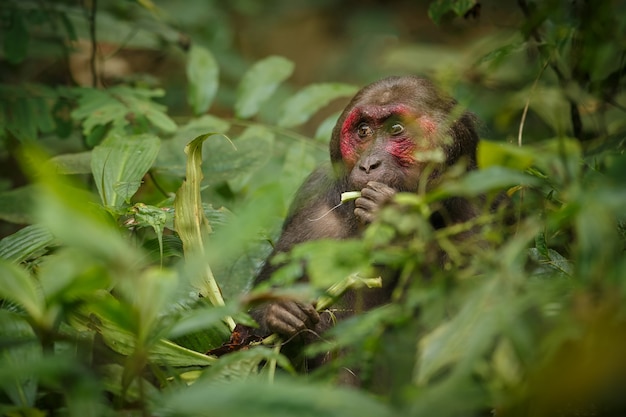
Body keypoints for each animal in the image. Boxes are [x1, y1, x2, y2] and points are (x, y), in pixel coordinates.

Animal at [247, 75, 478, 374]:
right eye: (363, 131)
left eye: (396, 129)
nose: (369, 164)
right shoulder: (311, 199)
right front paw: (278, 313)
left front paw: (393, 218)